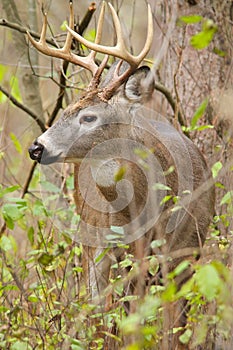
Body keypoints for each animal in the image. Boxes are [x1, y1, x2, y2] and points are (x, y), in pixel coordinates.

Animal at [26, 2, 215, 348]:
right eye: (66, 109)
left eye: (89, 117)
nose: (36, 147)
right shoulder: (103, 253)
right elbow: (113, 322)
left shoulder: (177, 254)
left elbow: (167, 327)